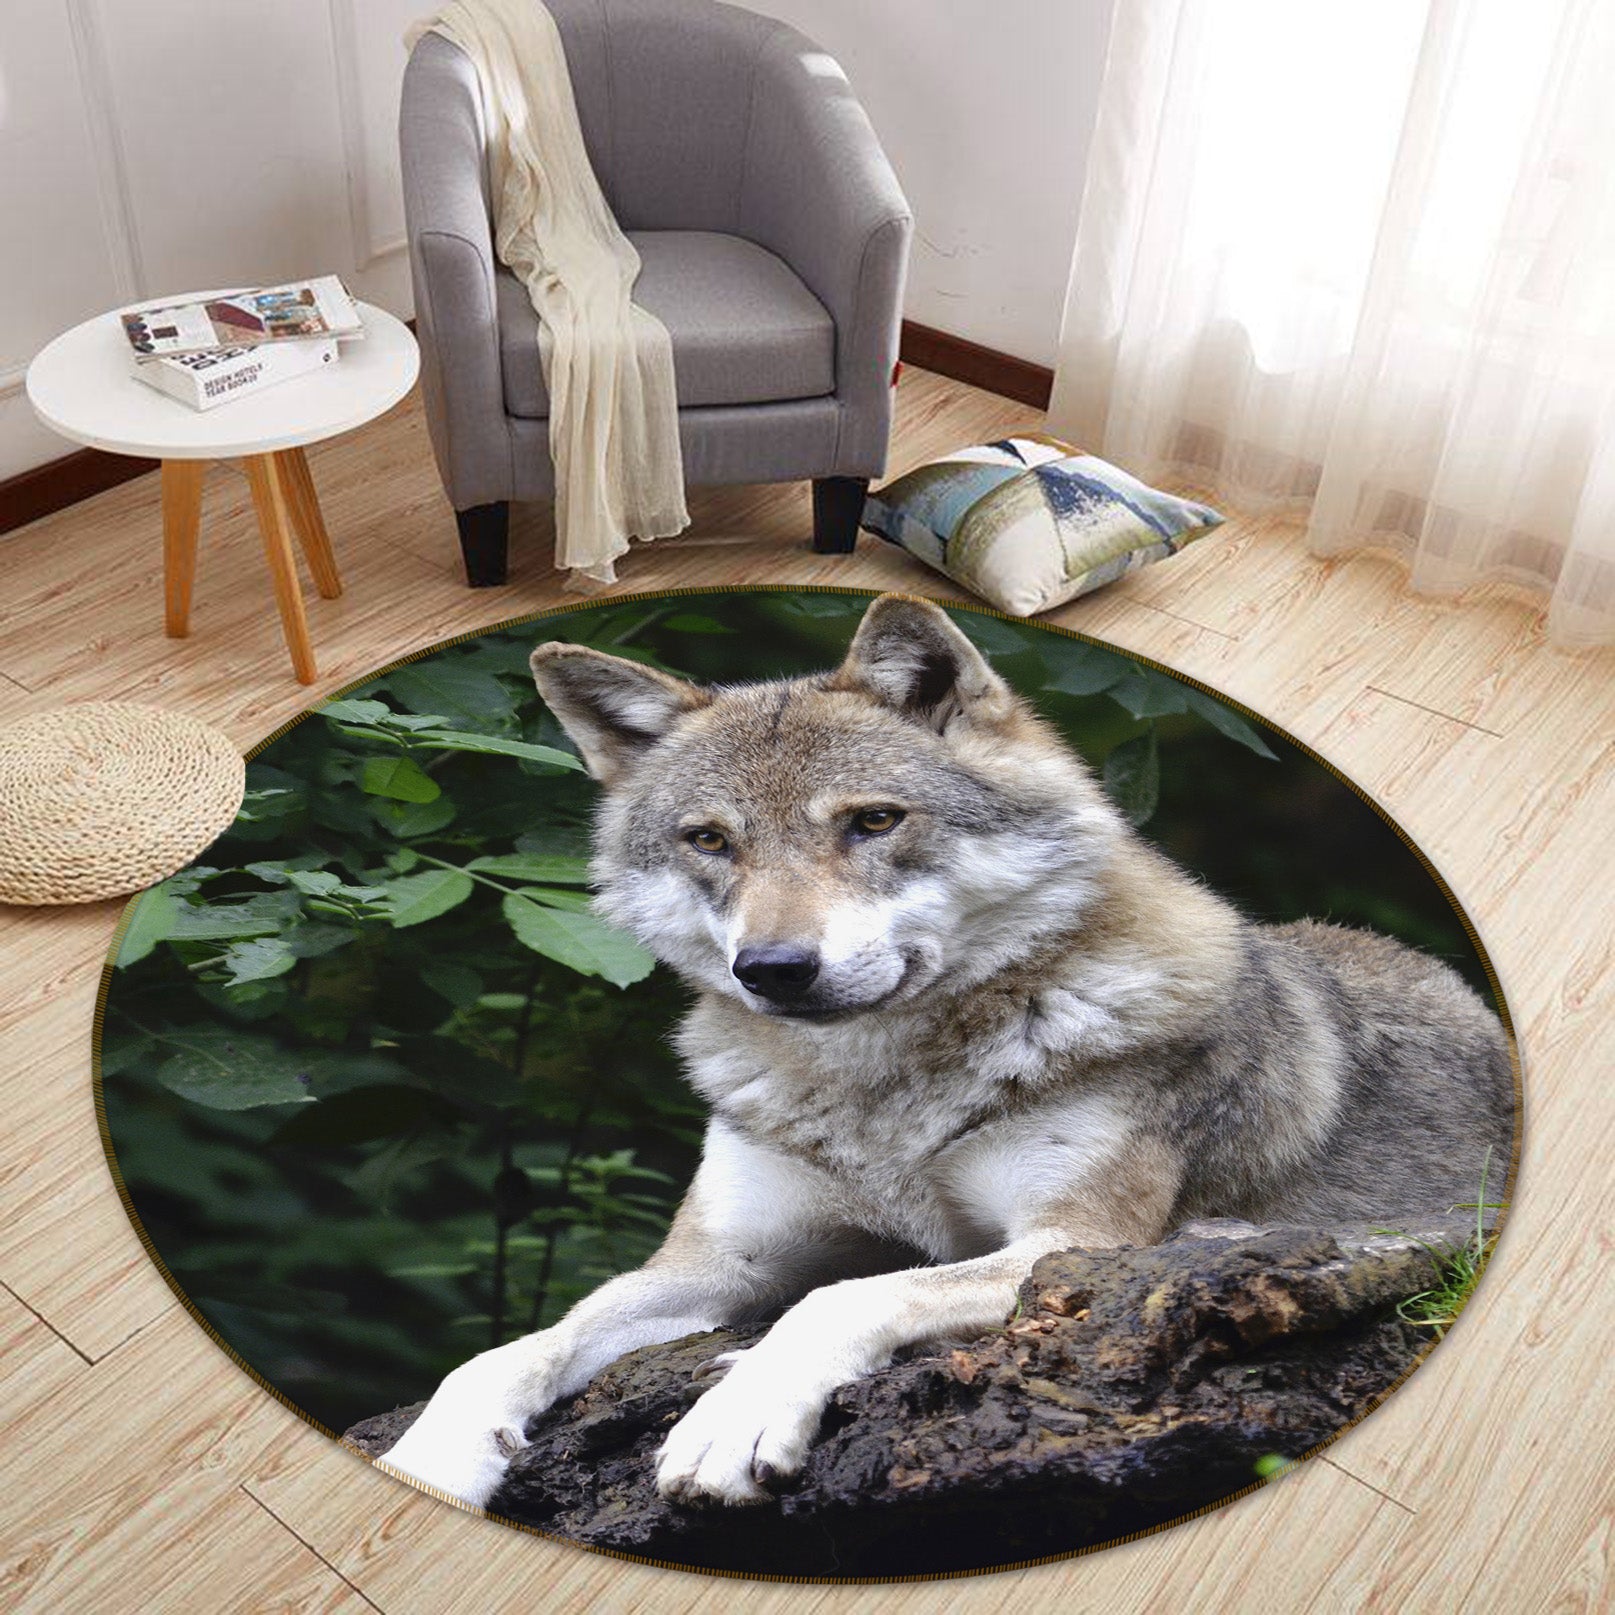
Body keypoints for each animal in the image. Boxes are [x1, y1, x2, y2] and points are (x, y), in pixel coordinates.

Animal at [379, 594, 1513, 1510]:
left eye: (873, 821)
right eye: (710, 840)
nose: (773, 968)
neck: (881, 1096)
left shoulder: (1075, 1245)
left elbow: (849, 1294)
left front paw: (732, 1419)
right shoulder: (716, 1262)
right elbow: (519, 1344)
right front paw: (431, 1455)